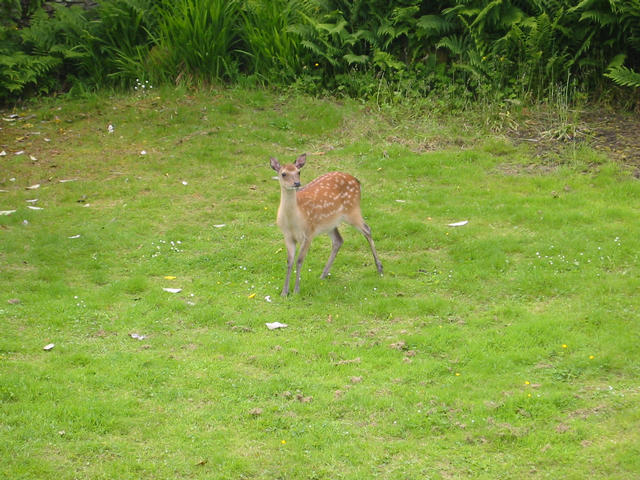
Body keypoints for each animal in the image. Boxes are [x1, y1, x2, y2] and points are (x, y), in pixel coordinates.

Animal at [270, 153, 383, 296]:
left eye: (298, 172)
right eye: (283, 174)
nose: (297, 183)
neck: (294, 220)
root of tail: (357, 181)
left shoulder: (309, 233)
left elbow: (299, 260)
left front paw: (296, 290)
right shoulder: (287, 236)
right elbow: (289, 261)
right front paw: (284, 292)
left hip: (352, 210)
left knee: (367, 229)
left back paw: (379, 267)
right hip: (330, 223)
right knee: (338, 240)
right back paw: (323, 274)